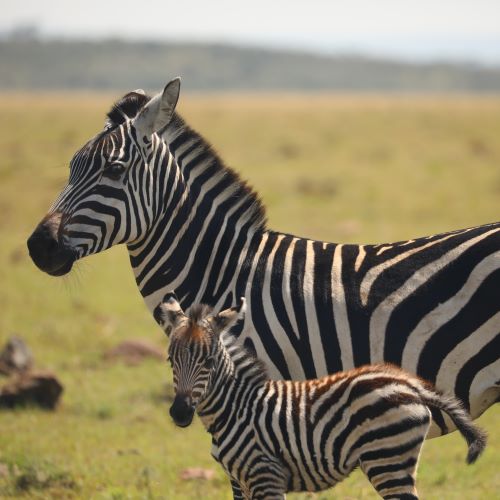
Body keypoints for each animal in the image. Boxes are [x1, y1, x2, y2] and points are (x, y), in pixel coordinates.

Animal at [156, 292, 484, 500]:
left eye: (209, 362)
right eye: (170, 360)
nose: (180, 413)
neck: (236, 408)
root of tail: (411, 385)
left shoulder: (266, 475)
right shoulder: (241, 480)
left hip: (387, 459)